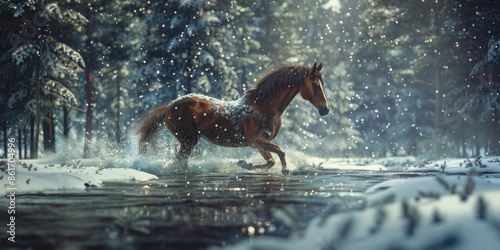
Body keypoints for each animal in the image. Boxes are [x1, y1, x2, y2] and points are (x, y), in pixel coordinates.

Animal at [137, 63, 330, 176]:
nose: (325, 109)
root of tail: (170, 106)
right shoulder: (255, 140)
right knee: (180, 161)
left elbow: (270, 161)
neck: (264, 107)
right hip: (187, 140)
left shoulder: (259, 143)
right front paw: (285, 170)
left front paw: (245, 164)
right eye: (315, 84)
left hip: (189, 141)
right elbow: (280, 152)